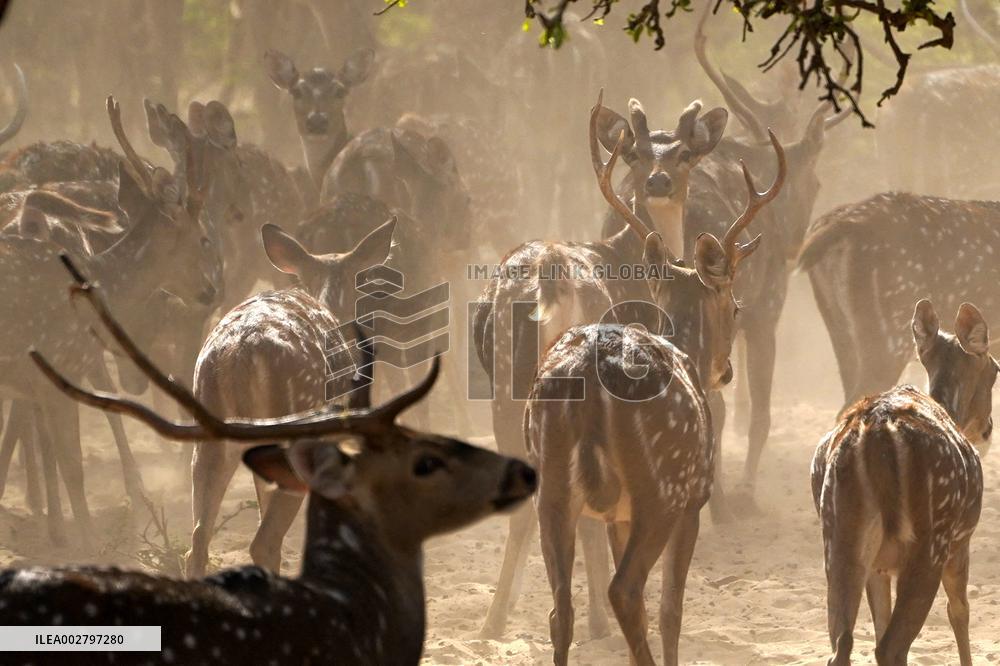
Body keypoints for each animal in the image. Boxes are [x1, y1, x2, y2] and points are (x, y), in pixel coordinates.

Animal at [812, 299, 993, 666]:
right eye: (995, 369)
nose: (987, 428)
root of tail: (876, 435)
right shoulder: (961, 540)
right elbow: (959, 610)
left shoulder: (879, 566)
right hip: (930, 540)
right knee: (892, 645)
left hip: (838, 537)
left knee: (842, 644)